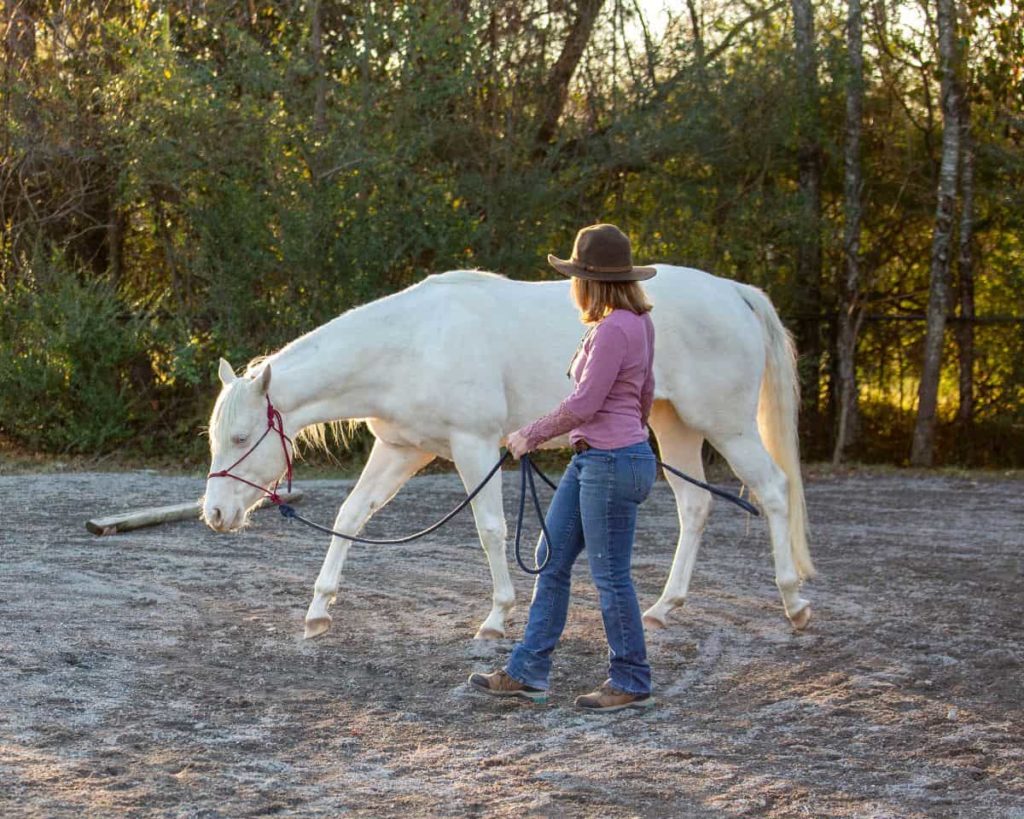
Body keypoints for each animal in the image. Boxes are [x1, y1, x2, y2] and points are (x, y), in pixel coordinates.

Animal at [201, 268, 815, 638]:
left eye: (241, 438)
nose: (214, 514)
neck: (408, 345)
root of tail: (732, 292)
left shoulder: (475, 446)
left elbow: (491, 529)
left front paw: (497, 617)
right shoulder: (400, 450)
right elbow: (350, 516)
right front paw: (318, 610)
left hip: (726, 425)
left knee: (774, 491)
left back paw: (794, 602)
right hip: (676, 425)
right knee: (695, 506)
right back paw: (666, 607)